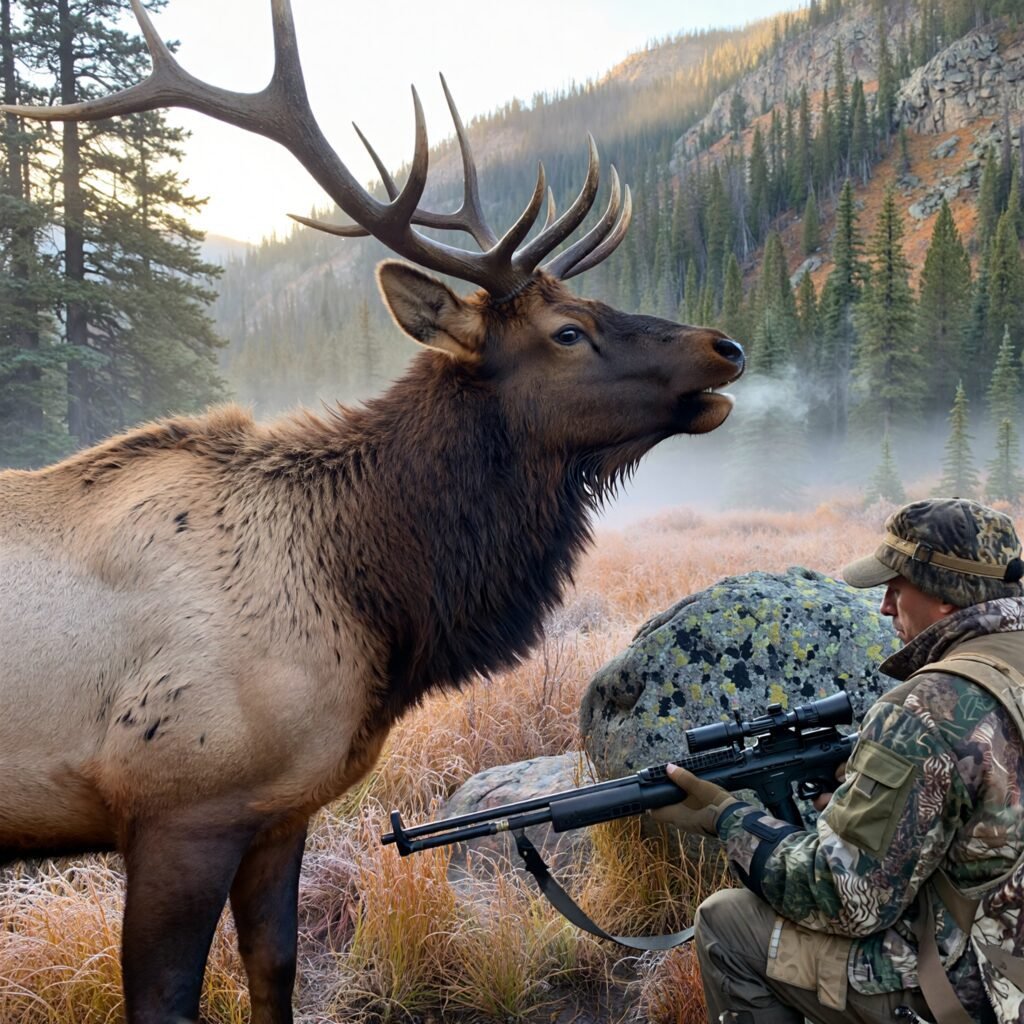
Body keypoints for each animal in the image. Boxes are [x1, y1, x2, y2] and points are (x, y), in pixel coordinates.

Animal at [0, 2, 745, 1022]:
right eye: (568, 332)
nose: (726, 346)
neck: (370, 605)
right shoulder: (179, 803)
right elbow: (166, 997)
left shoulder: (279, 808)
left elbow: (274, 970)